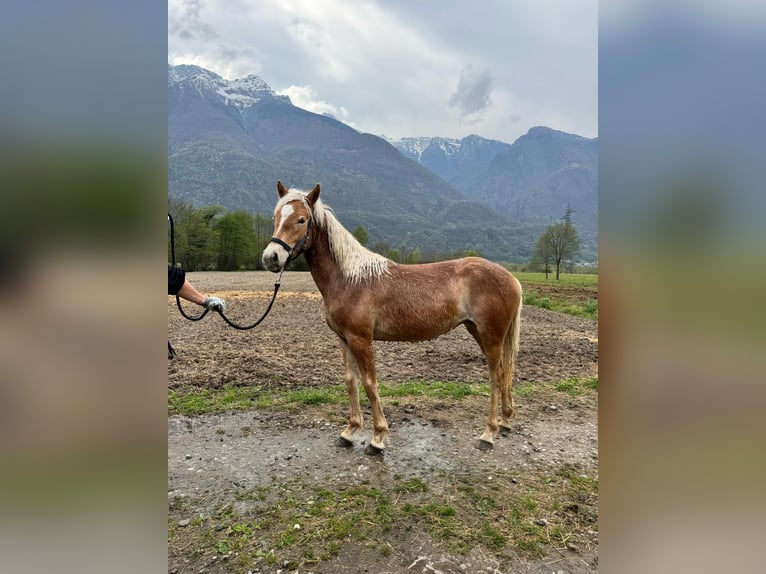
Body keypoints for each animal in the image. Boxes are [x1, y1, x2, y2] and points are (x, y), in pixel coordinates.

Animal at [262, 181, 523, 454]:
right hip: (479, 332)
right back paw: (505, 422)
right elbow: (351, 382)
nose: (271, 257)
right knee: (504, 372)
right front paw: (350, 431)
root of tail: (512, 279)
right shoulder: (344, 340)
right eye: (276, 217)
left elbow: (370, 383)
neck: (349, 279)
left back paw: (489, 433)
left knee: (496, 377)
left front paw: (377, 438)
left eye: (301, 219)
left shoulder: (361, 340)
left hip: (491, 336)